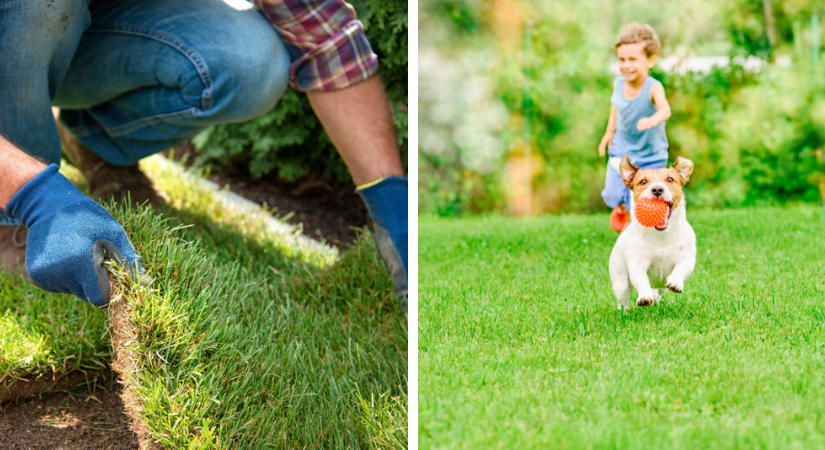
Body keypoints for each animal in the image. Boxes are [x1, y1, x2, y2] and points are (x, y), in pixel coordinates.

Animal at [608, 155, 692, 310]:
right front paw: (644, 297)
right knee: (623, 300)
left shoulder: (687, 257)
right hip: (620, 283)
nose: (657, 189)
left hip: (661, 287)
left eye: (670, 179)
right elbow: (641, 279)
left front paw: (675, 282)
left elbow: (682, 267)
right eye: (643, 181)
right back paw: (624, 312)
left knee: (658, 292)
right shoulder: (637, 263)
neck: (661, 235)